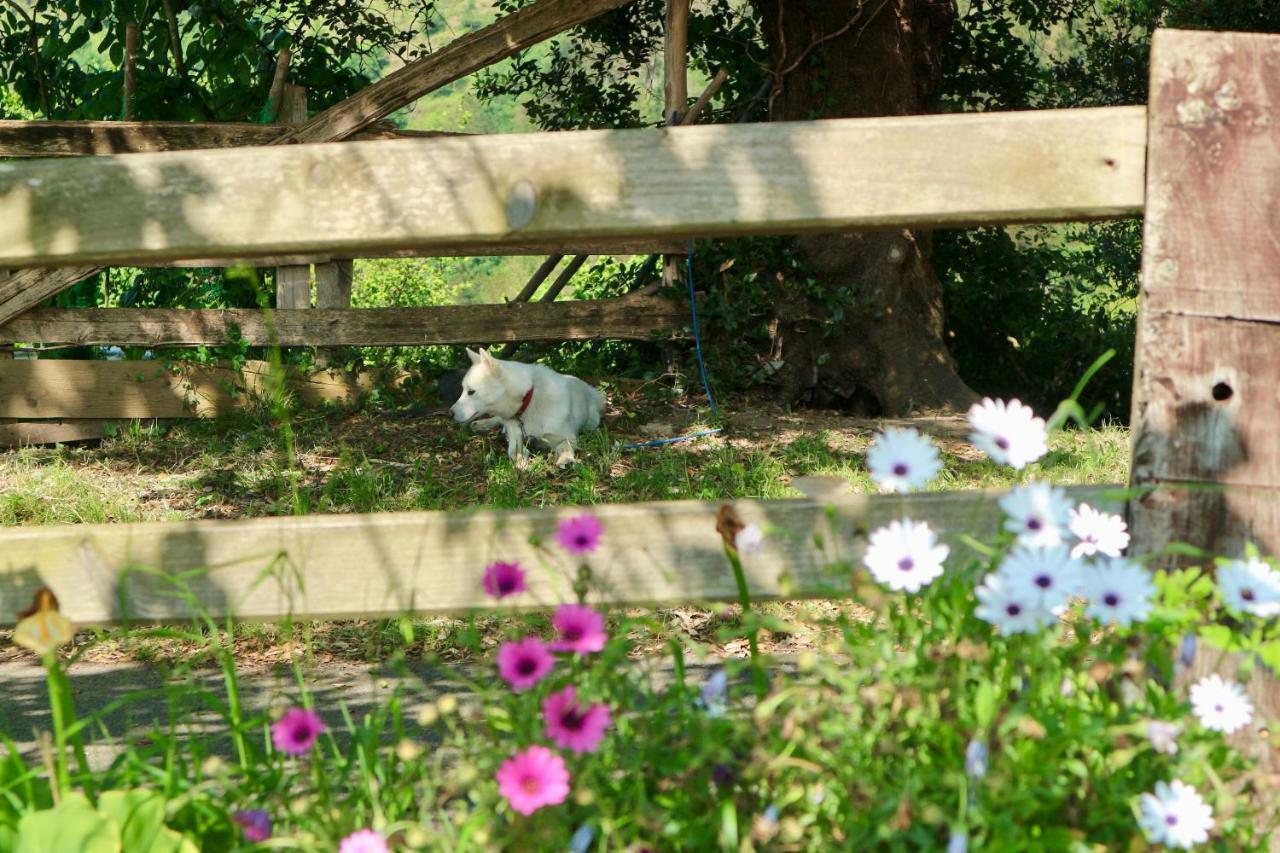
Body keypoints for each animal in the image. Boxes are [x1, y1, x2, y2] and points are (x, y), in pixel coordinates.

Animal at [450, 345, 604, 466]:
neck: (529, 401)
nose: (450, 413)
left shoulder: (565, 437)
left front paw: (566, 459)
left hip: (592, 421)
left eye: (471, 392)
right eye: (463, 390)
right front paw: (521, 463)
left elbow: (565, 447)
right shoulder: (516, 438)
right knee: (498, 419)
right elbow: (516, 452)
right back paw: (482, 424)